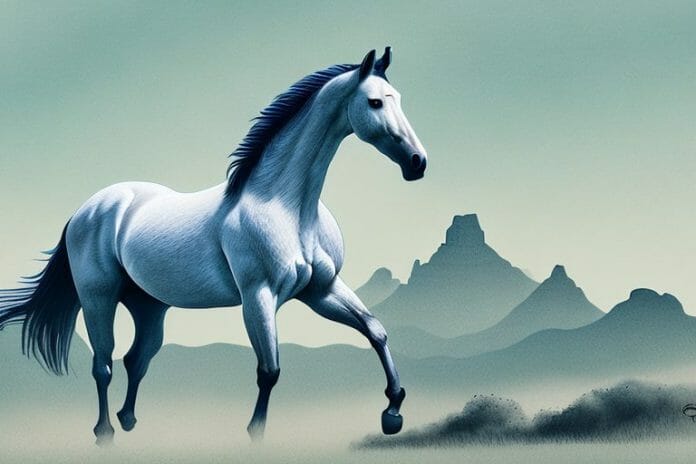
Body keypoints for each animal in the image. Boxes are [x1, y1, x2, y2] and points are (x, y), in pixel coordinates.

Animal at [0, 47, 427, 445]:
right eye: (375, 102)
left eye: (399, 98)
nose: (417, 162)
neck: (285, 208)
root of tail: (87, 209)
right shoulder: (258, 295)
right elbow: (269, 371)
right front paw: (255, 434)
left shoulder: (321, 290)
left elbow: (375, 330)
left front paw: (392, 412)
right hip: (98, 298)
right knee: (103, 364)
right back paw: (104, 433)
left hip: (148, 305)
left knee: (137, 359)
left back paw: (128, 420)